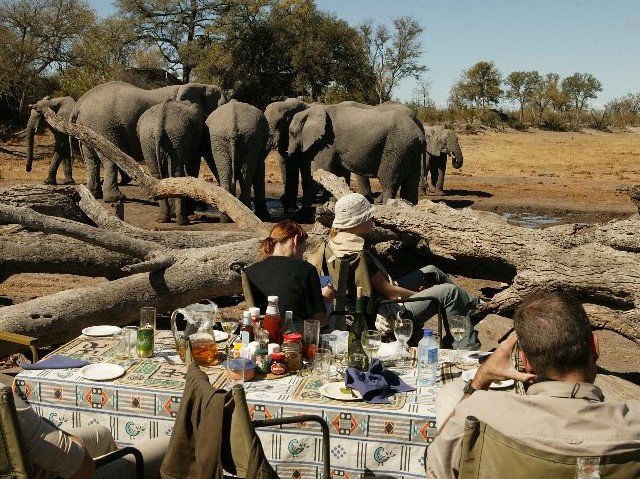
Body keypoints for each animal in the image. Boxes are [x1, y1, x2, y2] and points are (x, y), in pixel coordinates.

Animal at [72, 81, 228, 202]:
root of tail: (80, 104)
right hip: (103, 126)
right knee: (109, 159)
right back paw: (116, 198)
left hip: (87, 126)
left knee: (91, 159)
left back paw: (93, 194)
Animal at [288, 104, 422, 203]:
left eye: (292, 134)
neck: (314, 110)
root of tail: (420, 134)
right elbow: (335, 173)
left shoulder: (326, 142)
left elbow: (321, 171)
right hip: (410, 150)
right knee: (411, 185)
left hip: (397, 147)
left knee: (388, 182)